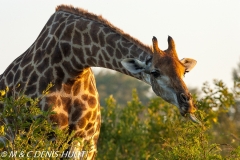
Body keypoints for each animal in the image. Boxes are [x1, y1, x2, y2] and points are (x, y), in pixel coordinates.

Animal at [0, 4, 199, 159]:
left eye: (184, 71)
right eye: (155, 72)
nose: (187, 102)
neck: (71, 65)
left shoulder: (85, 140)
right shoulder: (46, 136)